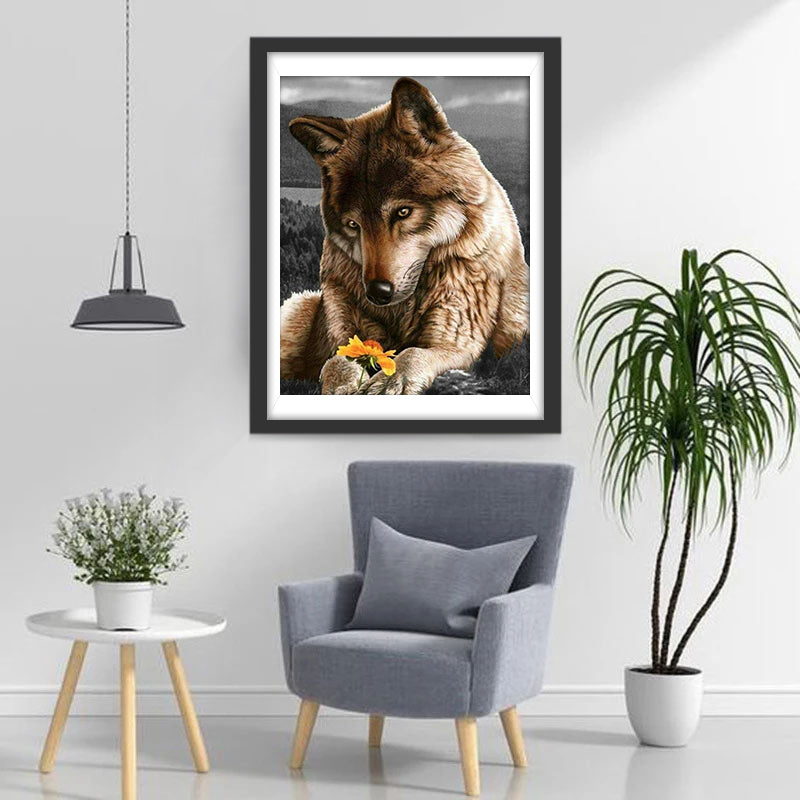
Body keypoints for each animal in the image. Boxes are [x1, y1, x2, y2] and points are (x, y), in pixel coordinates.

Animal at [280, 77, 529, 395]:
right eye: (353, 224)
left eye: (403, 212)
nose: (376, 293)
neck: (401, 312)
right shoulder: (344, 337)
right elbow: (337, 361)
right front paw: (342, 386)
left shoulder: (456, 343)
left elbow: (412, 353)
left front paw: (388, 381)